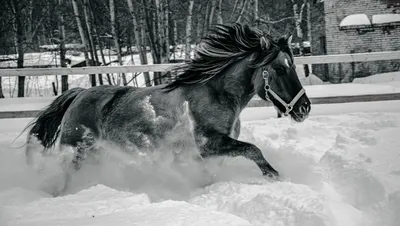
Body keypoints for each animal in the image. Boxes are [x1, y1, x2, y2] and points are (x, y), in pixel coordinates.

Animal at [24, 22, 312, 192]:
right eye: (280, 68)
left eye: (293, 66)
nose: (304, 108)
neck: (215, 94)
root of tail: (79, 95)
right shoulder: (209, 144)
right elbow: (253, 150)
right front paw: (274, 175)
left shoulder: (210, 152)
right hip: (78, 153)